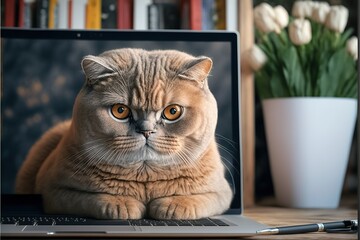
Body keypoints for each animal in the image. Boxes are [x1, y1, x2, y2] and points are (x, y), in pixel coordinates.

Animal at [15, 47, 232, 220]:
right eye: (120, 111)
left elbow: (198, 200)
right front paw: (123, 204)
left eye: (173, 111)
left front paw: (172, 205)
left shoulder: (222, 193)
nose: (146, 130)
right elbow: (91, 198)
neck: (145, 178)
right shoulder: (54, 191)